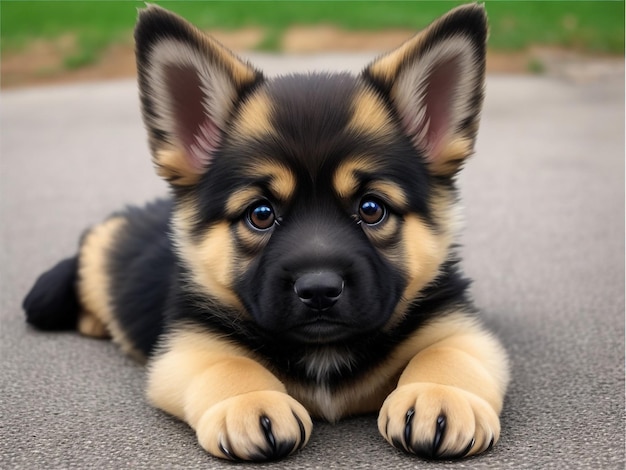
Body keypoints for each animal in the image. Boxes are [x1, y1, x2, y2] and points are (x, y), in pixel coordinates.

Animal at [25, 3, 512, 462]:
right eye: (260, 214)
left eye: (372, 209)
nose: (319, 291)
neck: (323, 352)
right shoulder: (185, 349)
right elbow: (228, 367)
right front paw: (250, 403)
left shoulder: (460, 327)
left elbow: (447, 354)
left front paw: (441, 397)